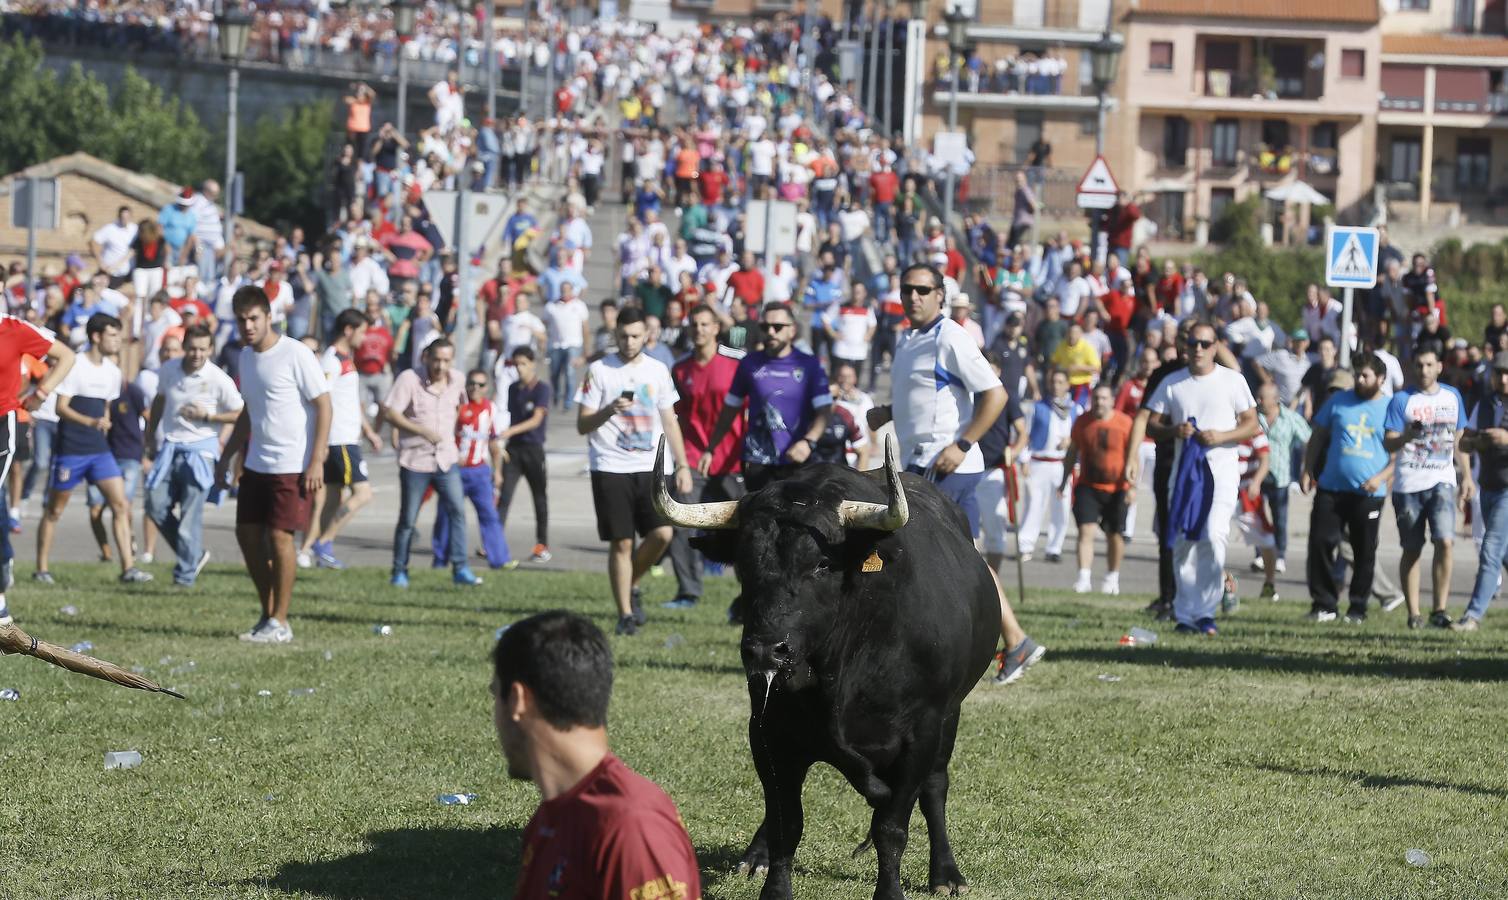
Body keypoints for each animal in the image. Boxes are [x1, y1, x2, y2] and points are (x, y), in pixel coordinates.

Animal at [657, 440, 1001, 898]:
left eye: (822, 563)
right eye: (743, 565)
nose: (767, 650)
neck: (838, 672)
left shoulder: (922, 733)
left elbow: (892, 825)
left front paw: (893, 891)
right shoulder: (767, 731)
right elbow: (787, 825)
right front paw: (774, 886)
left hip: (951, 715)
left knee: (934, 787)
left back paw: (946, 874)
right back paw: (755, 856)